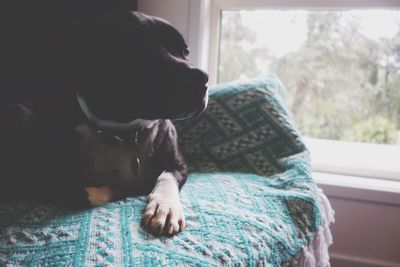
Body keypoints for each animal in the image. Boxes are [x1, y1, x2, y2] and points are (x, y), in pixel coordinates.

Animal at [0, 9, 209, 237]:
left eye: (185, 52)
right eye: (141, 49)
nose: (203, 77)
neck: (126, 135)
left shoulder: (177, 165)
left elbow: (166, 177)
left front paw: (165, 206)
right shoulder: (52, 181)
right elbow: (96, 193)